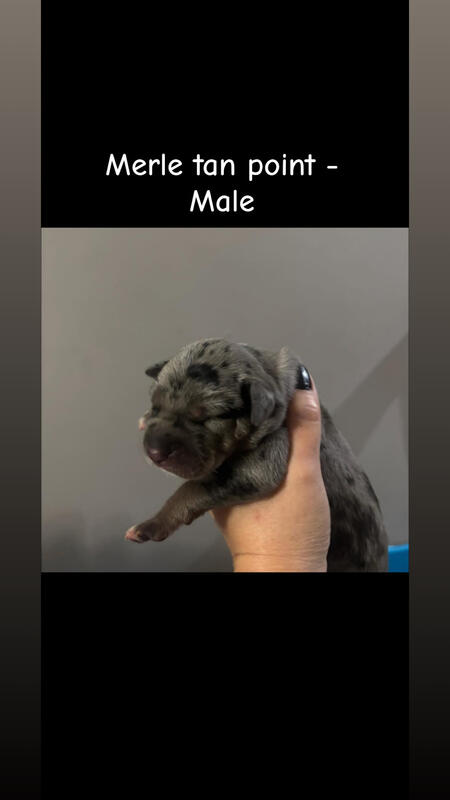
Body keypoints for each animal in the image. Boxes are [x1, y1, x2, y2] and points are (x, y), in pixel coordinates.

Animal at [125, 338, 388, 571]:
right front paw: (143, 419)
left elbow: (192, 488)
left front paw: (150, 525)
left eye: (207, 418)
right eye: (155, 405)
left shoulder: (268, 457)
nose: (154, 453)